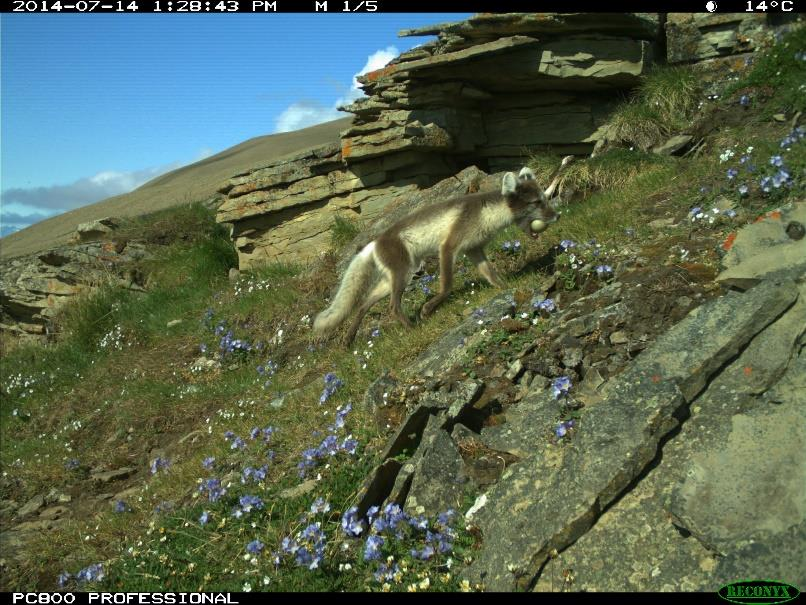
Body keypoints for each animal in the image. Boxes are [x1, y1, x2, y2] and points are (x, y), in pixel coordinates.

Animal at [312, 156, 572, 344]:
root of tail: (373, 243)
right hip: (403, 274)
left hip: (390, 280)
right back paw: (413, 327)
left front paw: (505, 288)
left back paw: (348, 339)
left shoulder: (474, 249)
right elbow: (447, 285)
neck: (487, 215)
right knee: (392, 307)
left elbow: (490, 274)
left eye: (544, 199)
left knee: (364, 304)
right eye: (537, 203)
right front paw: (428, 309)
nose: (558, 215)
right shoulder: (448, 247)